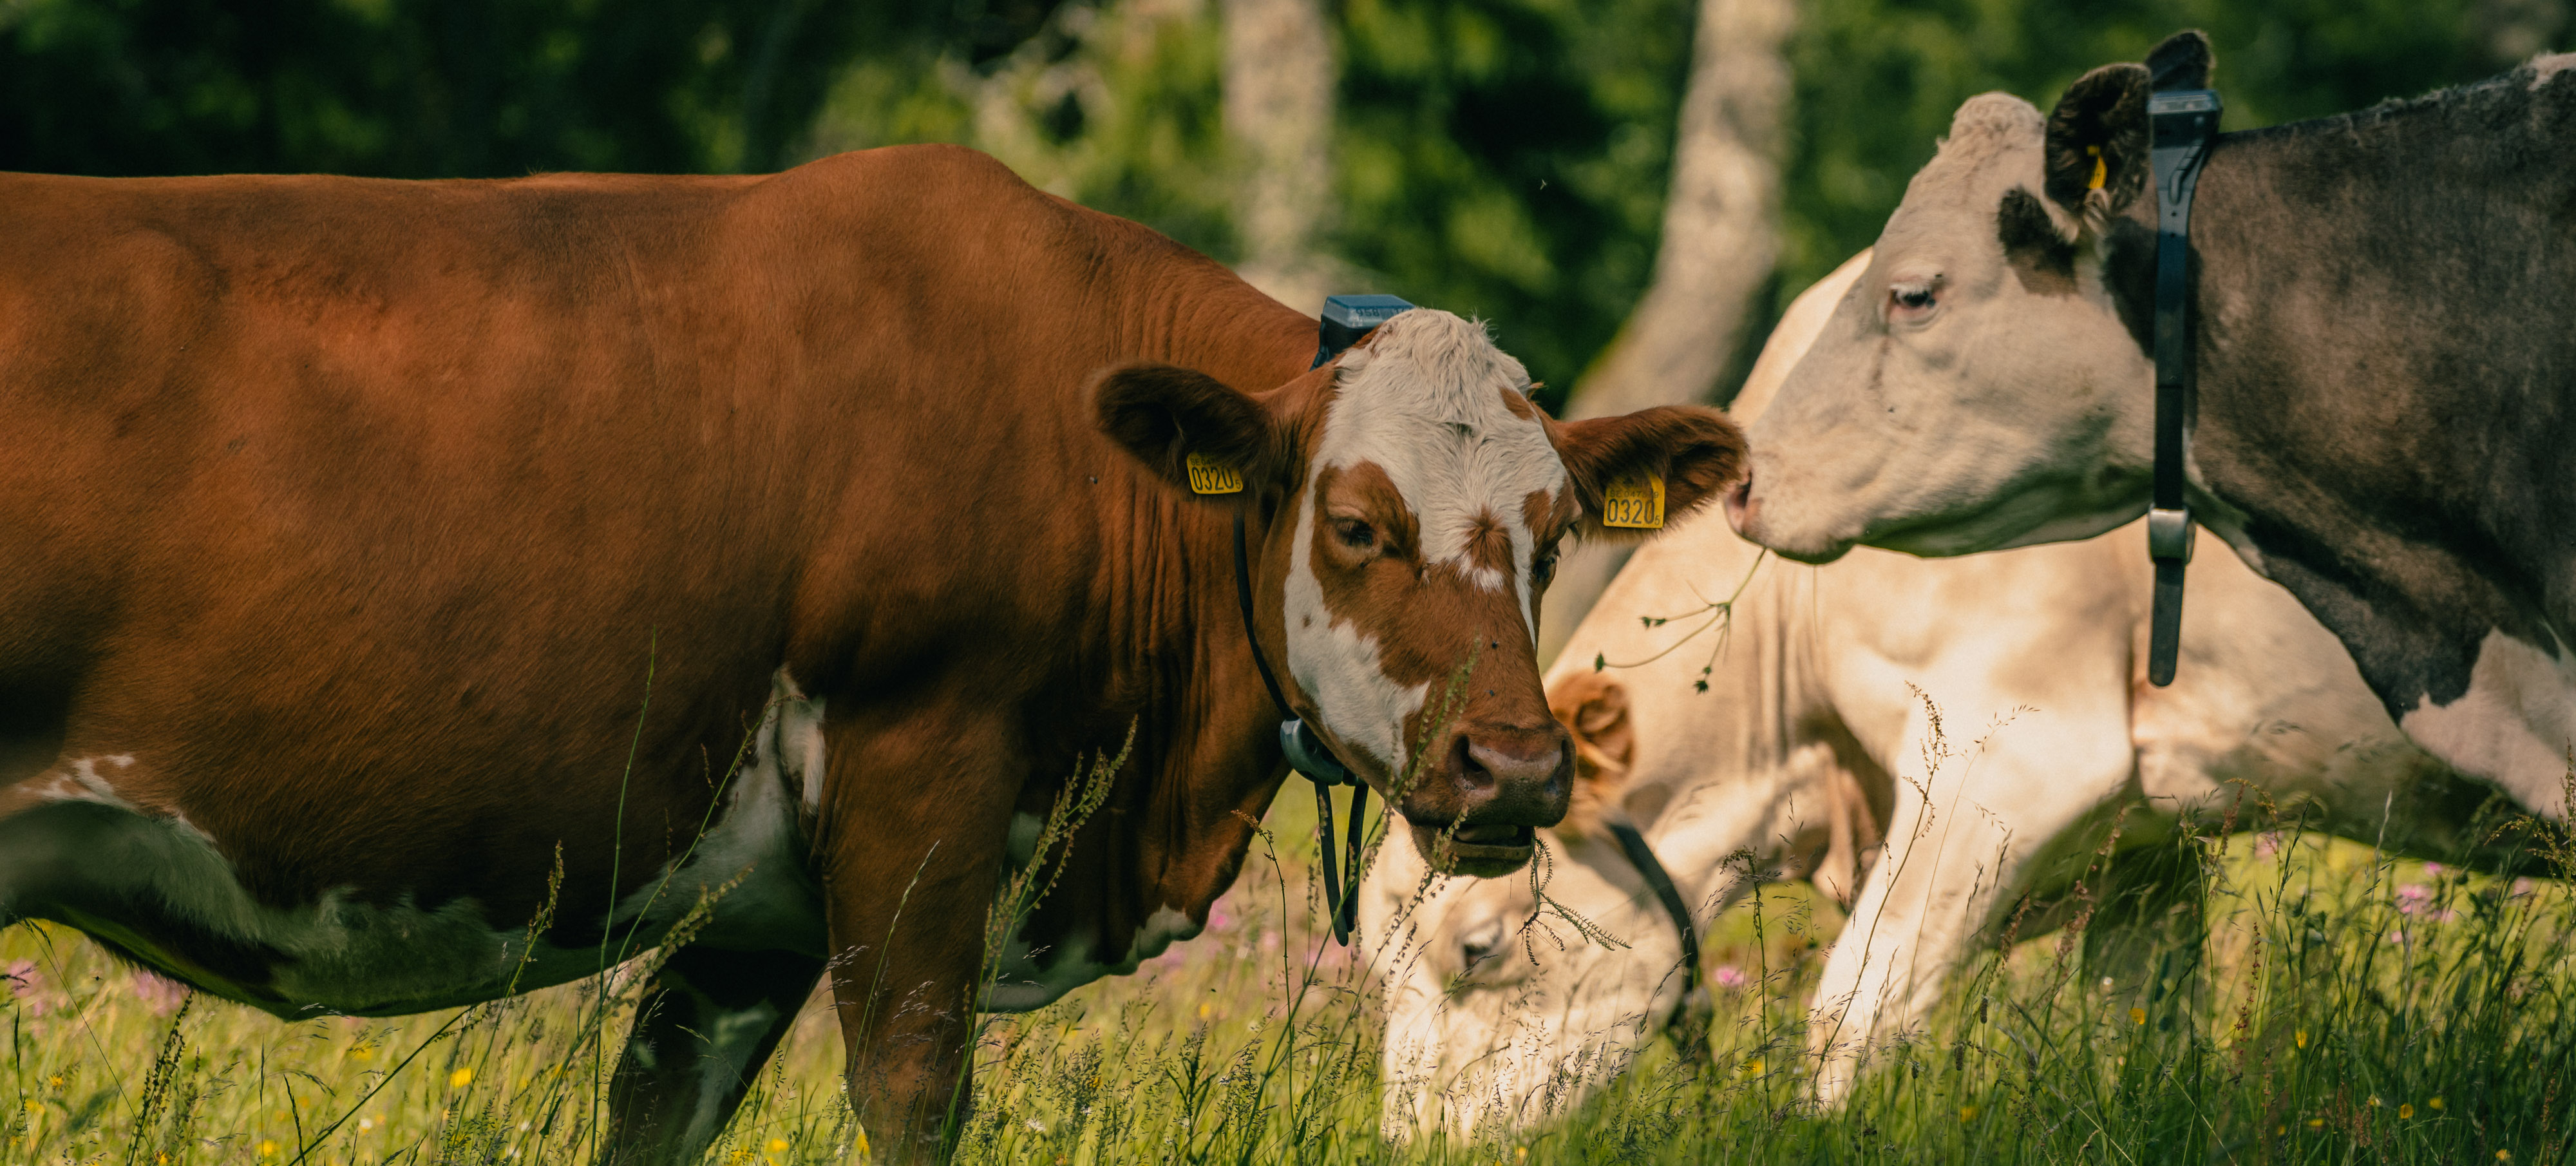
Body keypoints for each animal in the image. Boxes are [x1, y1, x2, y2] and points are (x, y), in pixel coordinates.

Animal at [0, 144, 1746, 1162]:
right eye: (1360, 523)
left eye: (1551, 532)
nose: (1512, 768)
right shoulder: (919, 802)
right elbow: (910, 1100)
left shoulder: (745, 913)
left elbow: (653, 1113)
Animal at [1364, 254, 2534, 1137]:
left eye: (1479, 948)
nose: (1411, 1150)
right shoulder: (2142, 839)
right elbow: (2140, 1038)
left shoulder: (2014, 756)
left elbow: (1853, 1014)